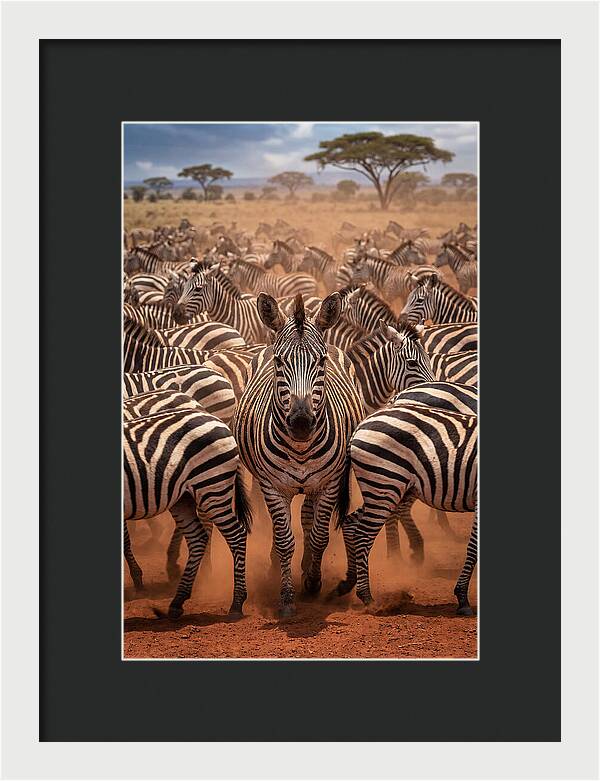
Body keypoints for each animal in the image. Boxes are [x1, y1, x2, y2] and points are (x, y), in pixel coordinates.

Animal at [124, 404, 252, 618]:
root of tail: (216, 419)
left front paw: (137, 579)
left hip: (212, 487)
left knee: (236, 535)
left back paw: (237, 603)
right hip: (183, 498)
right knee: (198, 538)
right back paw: (177, 601)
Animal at [232, 292, 364, 617]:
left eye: (321, 361)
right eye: (280, 362)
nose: (302, 423)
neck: (301, 448)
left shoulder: (330, 483)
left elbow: (319, 535)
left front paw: (313, 582)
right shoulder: (272, 486)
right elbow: (283, 539)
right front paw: (287, 596)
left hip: (317, 483)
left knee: (308, 516)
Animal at [338, 403, 478, 615]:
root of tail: (361, 424)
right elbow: (474, 547)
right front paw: (462, 598)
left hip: (383, 489)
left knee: (350, 523)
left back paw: (348, 581)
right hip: (385, 484)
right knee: (363, 534)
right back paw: (368, 598)